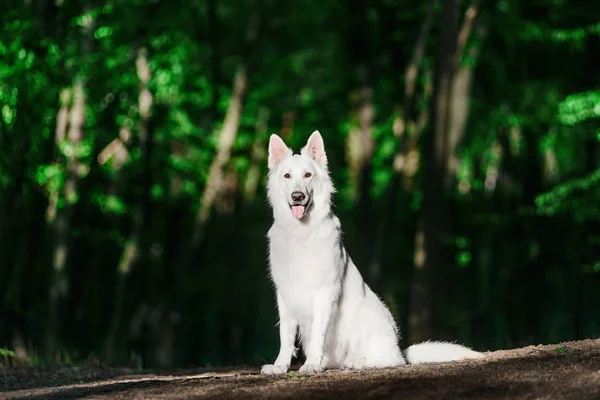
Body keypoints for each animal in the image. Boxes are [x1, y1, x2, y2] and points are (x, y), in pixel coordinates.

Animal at [262, 131, 482, 376]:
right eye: (287, 176)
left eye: (307, 175)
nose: (298, 196)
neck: (301, 233)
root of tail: (400, 349)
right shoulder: (285, 295)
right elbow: (286, 335)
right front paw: (280, 365)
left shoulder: (324, 293)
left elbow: (318, 332)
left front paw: (310, 365)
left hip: (368, 316)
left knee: (391, 360)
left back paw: (356, 362)